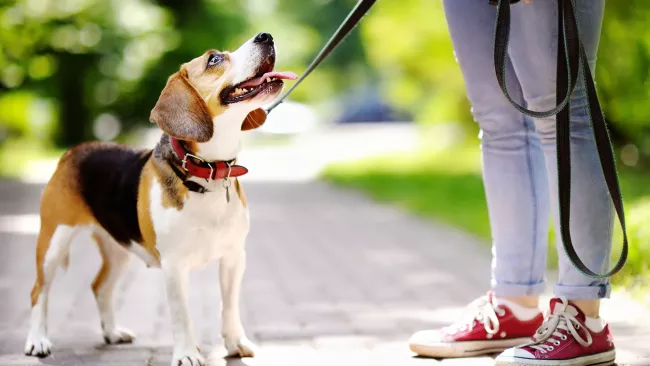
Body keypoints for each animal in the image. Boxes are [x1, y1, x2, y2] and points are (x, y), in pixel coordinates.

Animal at [23, 33, 296, 364]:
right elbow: (182, 314)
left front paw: (235, 343)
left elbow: (229, 306)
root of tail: (74, 151)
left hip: (119, 248)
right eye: (215, 59)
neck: (207, 173)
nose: (265, 36)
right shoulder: (174, 266)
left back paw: (112, 332)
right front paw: (187, 354)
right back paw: (37, 341)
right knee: (38, 291)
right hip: (53, 242)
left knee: (100, 287)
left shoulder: (234, 257)